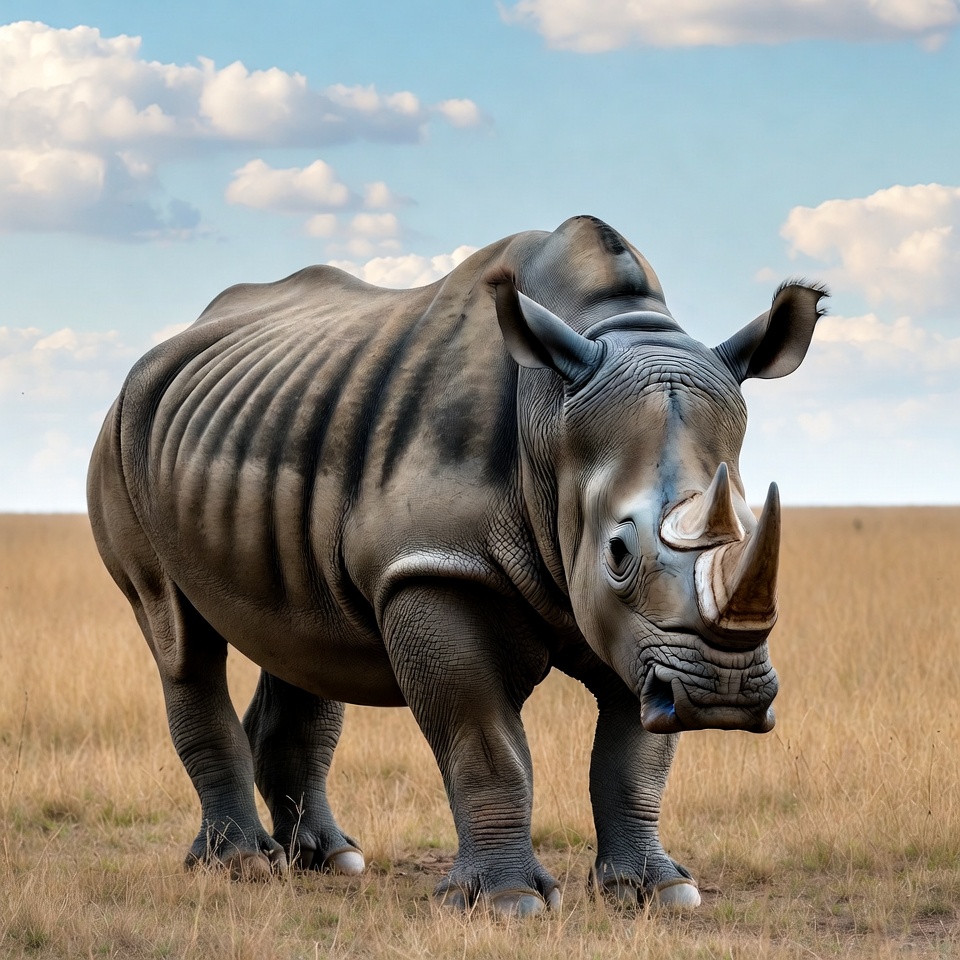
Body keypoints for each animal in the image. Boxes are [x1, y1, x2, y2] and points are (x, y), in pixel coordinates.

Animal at [87, 215, 825, 916]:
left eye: (754, 530)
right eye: (618, 552)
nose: (723, 692)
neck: (552, 413)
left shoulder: (646, 637)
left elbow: (635, 756)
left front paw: (659, 893)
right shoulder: (434, 566)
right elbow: (484, 742)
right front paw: (507, 903)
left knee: (302, 643)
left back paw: (331, 861)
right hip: (121, 437)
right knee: (179, 637)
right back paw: (243, 865)